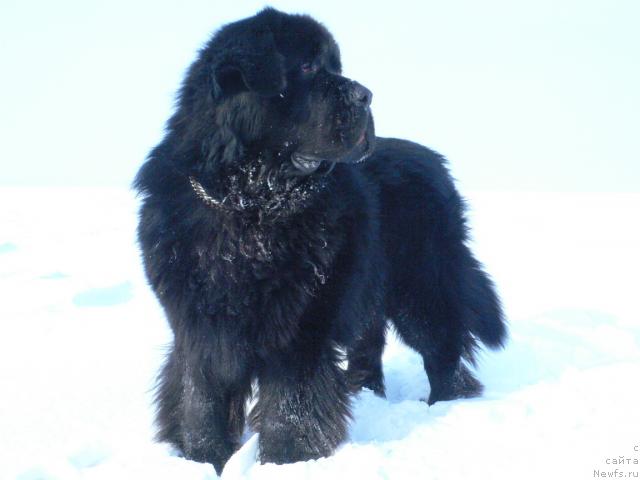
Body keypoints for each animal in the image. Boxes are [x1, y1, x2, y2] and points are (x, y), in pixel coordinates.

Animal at [134, 6, 504, 472]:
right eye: (308, 66)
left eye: (336, 68)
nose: (366, 94)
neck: (249, 205)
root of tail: (436, 161)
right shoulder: (197, 325)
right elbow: (199, 401)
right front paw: (203, 459)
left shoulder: (301, 327)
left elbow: (292, 404)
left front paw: (288, 461)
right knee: (370, 341)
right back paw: (364, 391)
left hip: (422, 286)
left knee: (443, 346)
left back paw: (448, 405)